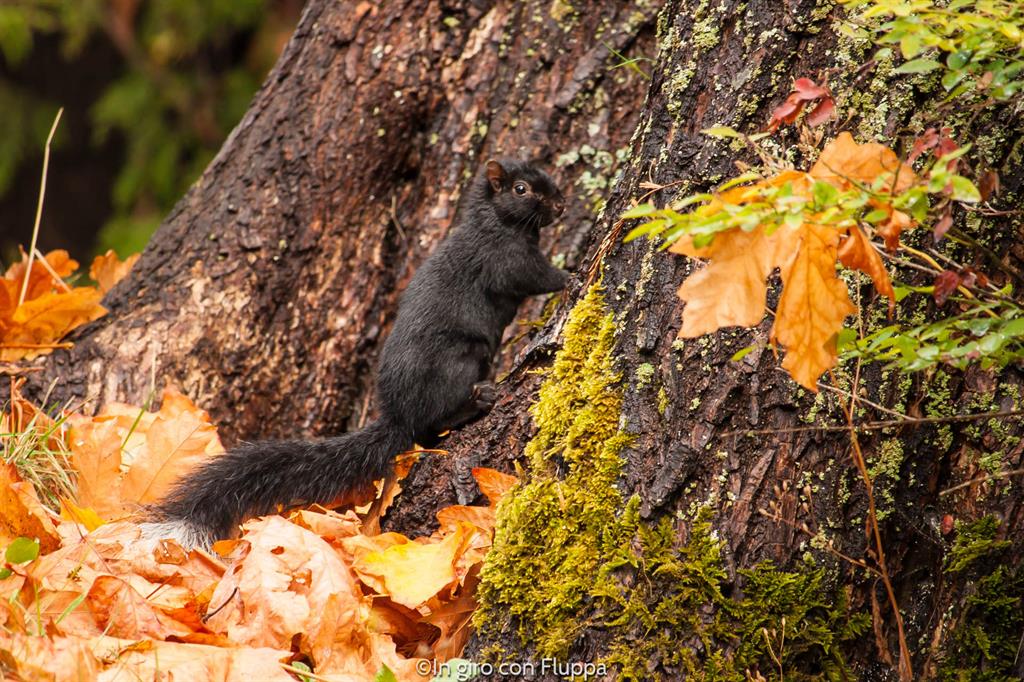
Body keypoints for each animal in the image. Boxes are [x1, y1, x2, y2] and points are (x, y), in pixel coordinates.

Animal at [141, 159, 568, 549]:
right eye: (521, 189)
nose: (561, 205)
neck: (495, 223)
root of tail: (397, 415)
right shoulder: (504, 259)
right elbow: (534, 277)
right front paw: (570, 277)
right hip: (458, 360)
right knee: (430, 422)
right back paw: (477, 401)